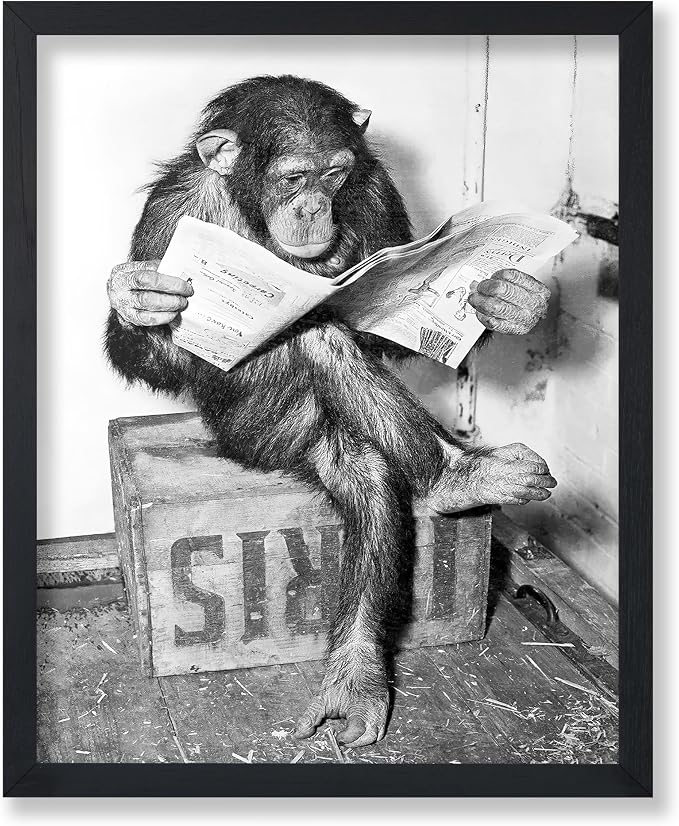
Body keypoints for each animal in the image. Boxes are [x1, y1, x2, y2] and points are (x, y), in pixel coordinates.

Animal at [106, 75, 555, 748]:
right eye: (294, 177)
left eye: (335, 174)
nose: (314, 206)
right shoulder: (169, 212)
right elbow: (159, 353)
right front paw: (137, 298)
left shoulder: (375, 191)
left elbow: (380, 328)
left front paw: (506, 298)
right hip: (261, 433)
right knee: (318, 350)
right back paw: (455, 480)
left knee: (360, 449)